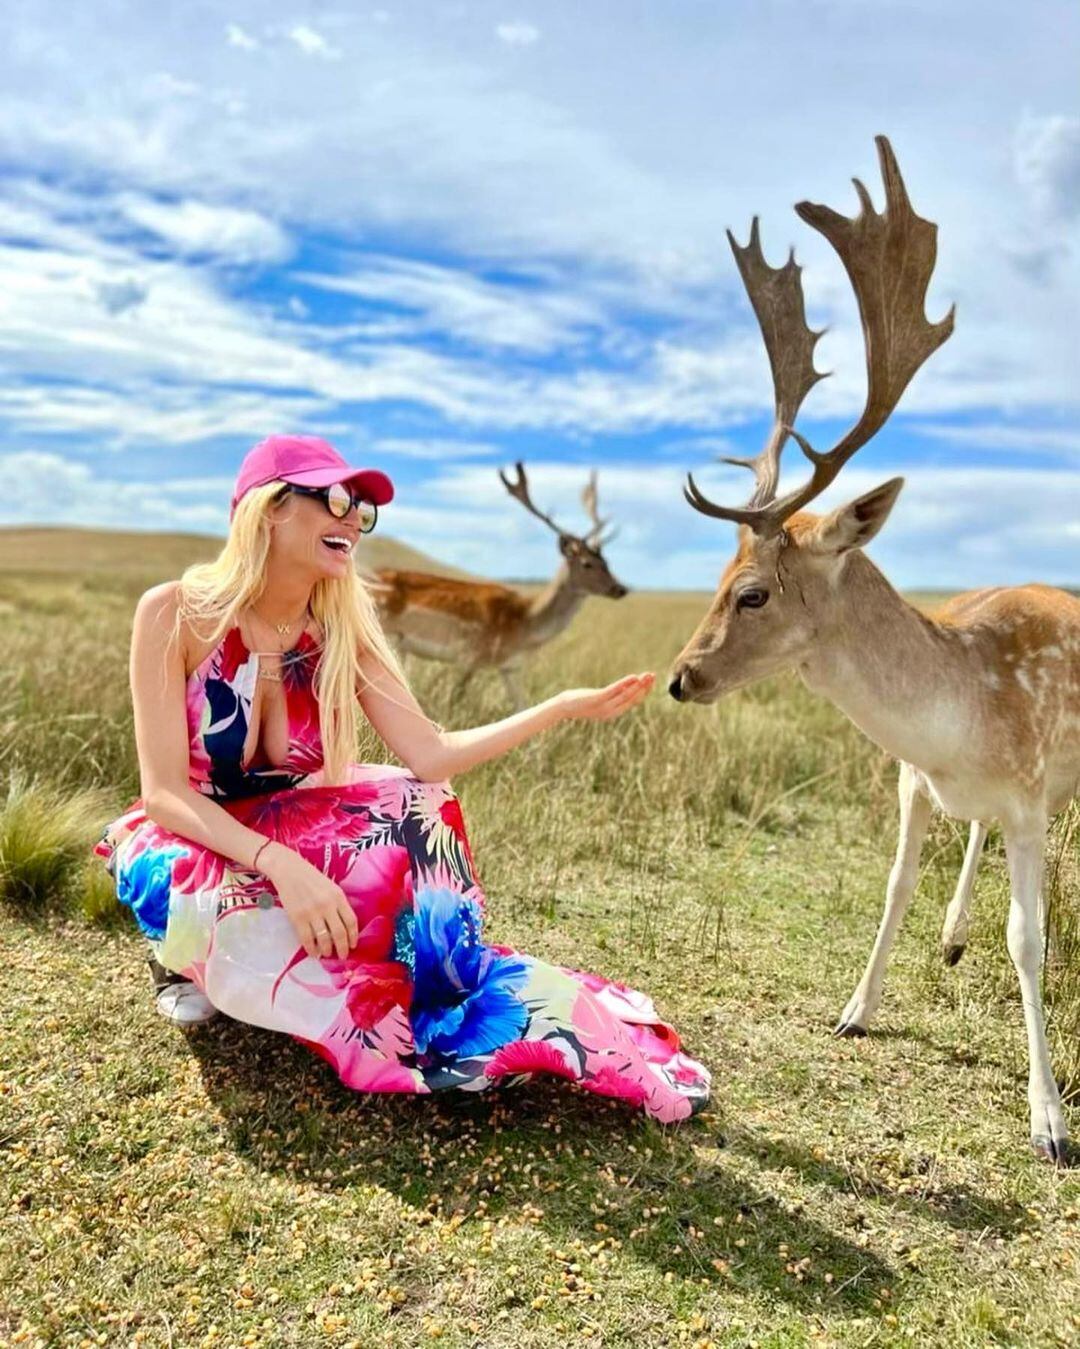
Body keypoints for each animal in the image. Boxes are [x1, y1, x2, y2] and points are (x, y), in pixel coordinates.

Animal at [372, 464, 628, 706]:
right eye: (587, 564)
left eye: (606, 561)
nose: (620, 588)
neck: (523, 625)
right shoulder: (471, 656)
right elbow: (456, 698)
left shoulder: (510, 667)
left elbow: (522, 707)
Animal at [666, 139, 1078, 1170]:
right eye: (718, 571)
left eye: (754, 590)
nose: (681, 677)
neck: (959, 725)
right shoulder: (908, 780)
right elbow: (892, 889)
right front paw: (855, 1008)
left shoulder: (1026, 796)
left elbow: (1029, 938)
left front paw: (1049, 1121)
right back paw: (951, 935)